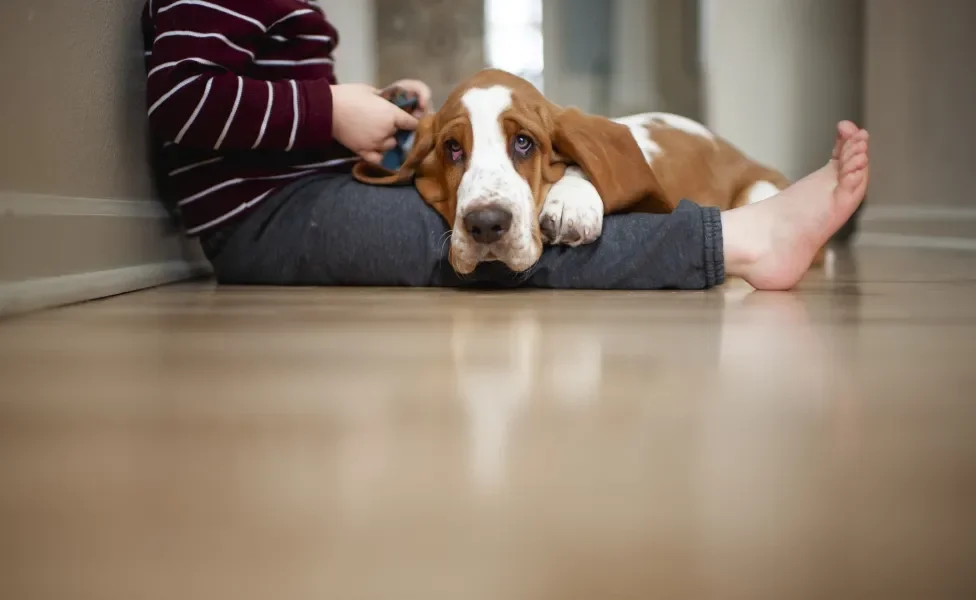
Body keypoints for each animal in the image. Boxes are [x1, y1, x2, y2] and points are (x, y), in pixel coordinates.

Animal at [352, 69, 808, 276]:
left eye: (524, 143)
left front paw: (569, 202)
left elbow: (579, 164)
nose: (485, 225)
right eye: (452, 148)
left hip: (761, 188)